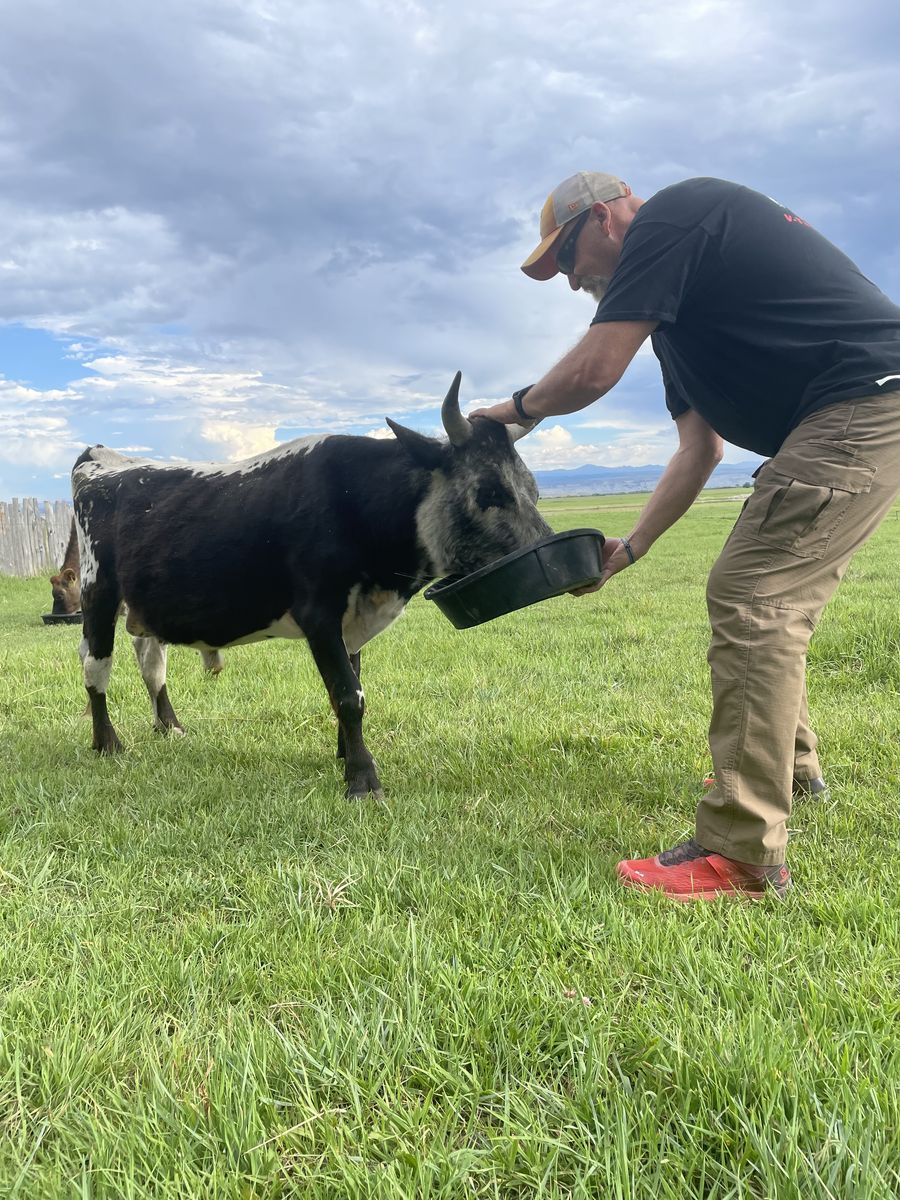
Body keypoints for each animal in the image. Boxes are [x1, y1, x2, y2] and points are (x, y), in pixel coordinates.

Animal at [72, 373, 551, 797]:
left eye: (535, 490)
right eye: (489, 492)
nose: (544, 547)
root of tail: (101, 457)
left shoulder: (353, 619)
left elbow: (353, 684)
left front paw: (344, 755)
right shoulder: (318, 613)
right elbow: (348, 695)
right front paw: (362, 780)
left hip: (143, 606)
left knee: (150, 661)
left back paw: (169, 727)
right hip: (98, 590)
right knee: (96, 666)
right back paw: (107, 743)